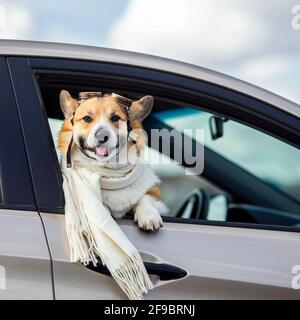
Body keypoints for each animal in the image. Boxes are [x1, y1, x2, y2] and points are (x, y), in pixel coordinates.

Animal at [57, 90, 168, 230]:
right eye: (87, 118)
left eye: (115, 118)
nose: (102, 136)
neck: (111, 174)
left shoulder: (154, 194)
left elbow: (145, 198)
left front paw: (149, 216)